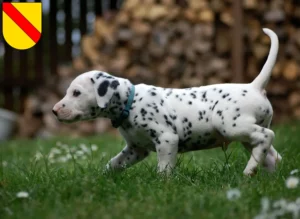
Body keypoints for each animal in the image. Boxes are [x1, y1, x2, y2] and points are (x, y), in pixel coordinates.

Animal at [53, 28, 282, 176]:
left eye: (76, 93)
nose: (54, 110)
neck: (130, 103)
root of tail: (254, 86)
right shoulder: (135, 149)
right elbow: (114, 163)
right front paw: (100, 178)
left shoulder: (166, 139)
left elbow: (164, 168)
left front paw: (162, 183)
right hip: (245, 135)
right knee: (271, 154)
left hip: (230, 125)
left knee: (268, 136)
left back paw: (249, 169)